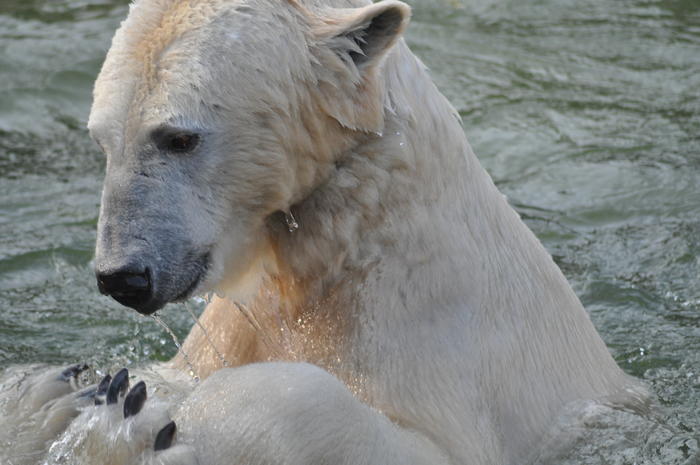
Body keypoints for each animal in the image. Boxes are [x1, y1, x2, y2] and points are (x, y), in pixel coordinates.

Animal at [0, 0, 651, 463]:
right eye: (102, 140)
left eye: (178, 137)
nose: (123, 275)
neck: (347, 247)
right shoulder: (242, 321)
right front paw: (68, 392)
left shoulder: (444, 338)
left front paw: (146, 421)